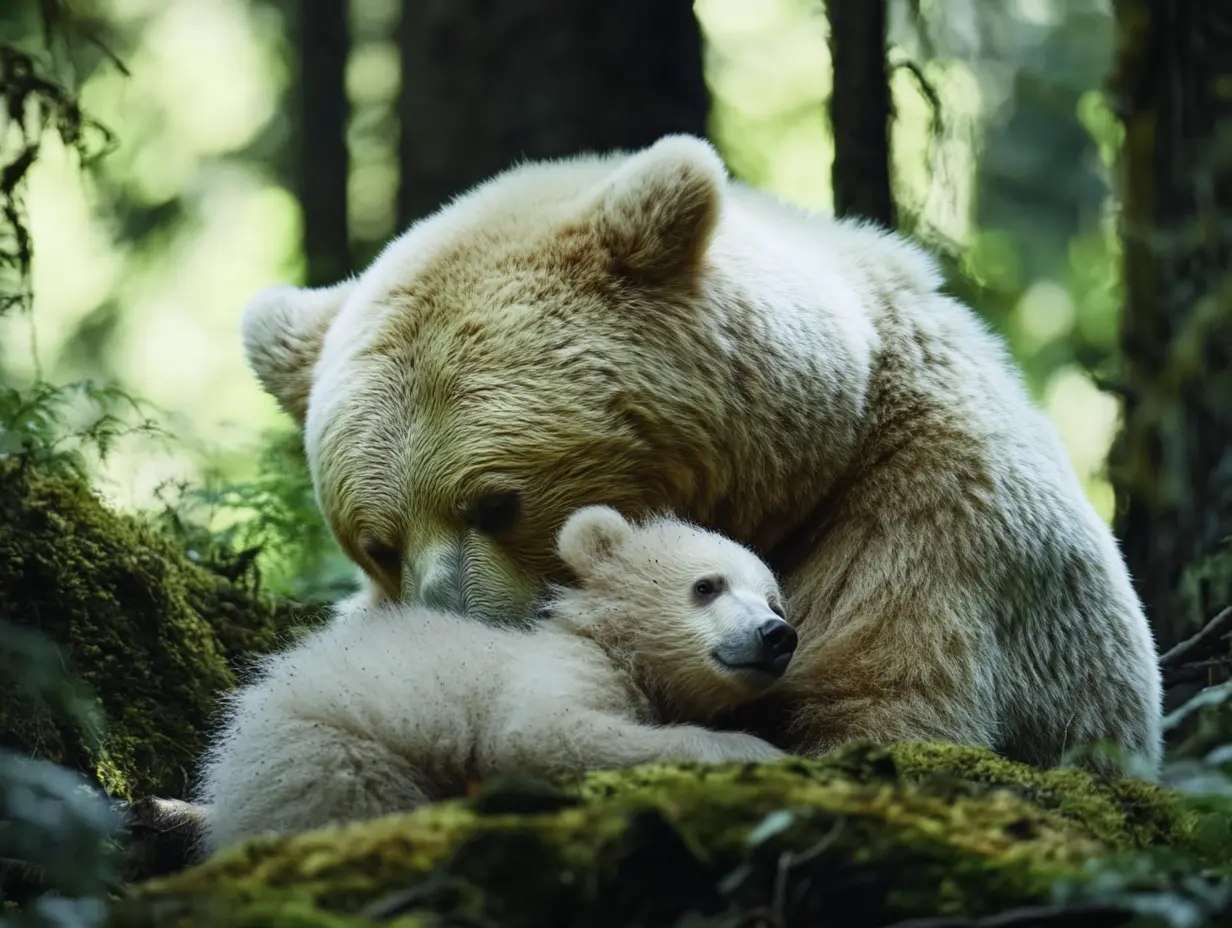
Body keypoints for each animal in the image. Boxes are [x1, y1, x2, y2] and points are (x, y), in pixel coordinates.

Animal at [195, 505, 796, 855]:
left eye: (774, 600)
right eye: (707, 586)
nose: (777, 635)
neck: (610, 645)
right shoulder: (557, 669)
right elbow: (537, 733)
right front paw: (753, 750)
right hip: (322, 754)